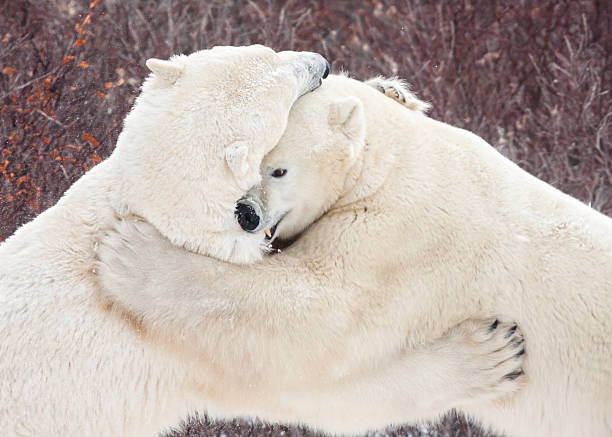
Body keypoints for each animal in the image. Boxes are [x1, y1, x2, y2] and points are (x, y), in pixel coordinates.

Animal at [97, 73, 612, 434]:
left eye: (278, 168)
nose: (246, 213)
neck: (388, 158)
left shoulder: (399, 235)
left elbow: (318, 319)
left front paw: (128, 254)